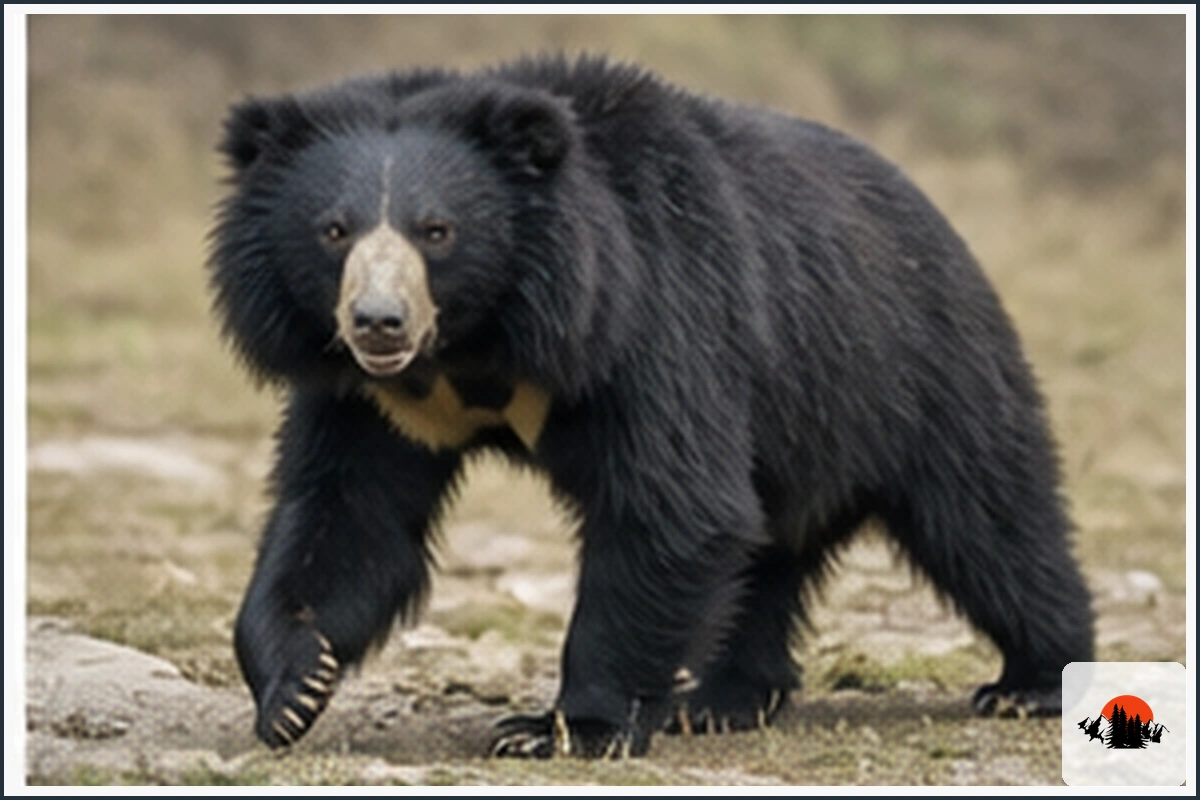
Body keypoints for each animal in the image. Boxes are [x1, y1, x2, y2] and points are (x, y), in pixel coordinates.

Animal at [208, 54, 1094, 759]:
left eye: (436, 230)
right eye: (334, 231)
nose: (378, 323)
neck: (475, 346)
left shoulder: (651, 320)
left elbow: (671, 505)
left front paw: (561, 730)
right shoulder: (377, 398)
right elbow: (347, 516)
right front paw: (295, 686)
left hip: (914, 369)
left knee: (989, 523)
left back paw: (1031, 683)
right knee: (768, 554)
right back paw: (721, 698)